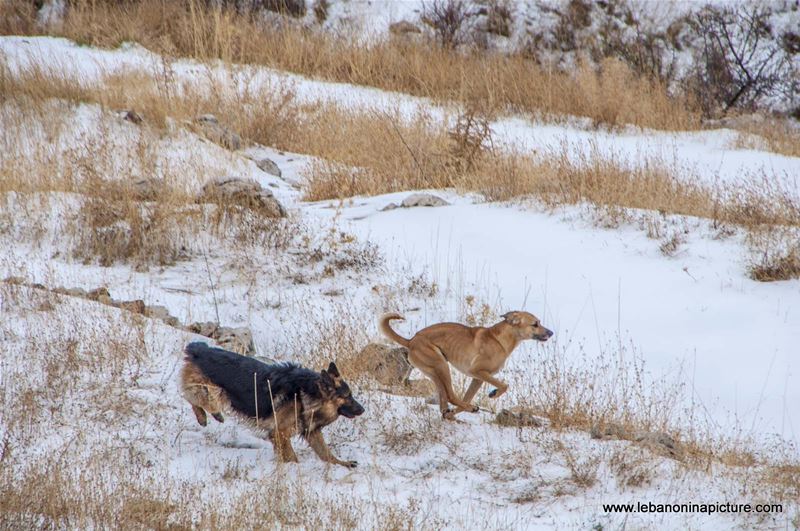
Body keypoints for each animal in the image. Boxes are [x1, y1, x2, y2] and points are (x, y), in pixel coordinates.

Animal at [180, 342, 364, 468]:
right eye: (347, 396)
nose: (363, 409)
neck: (306, 393)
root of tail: (199, 349)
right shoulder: (279, 432)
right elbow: (292, 457)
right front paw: (294, 468)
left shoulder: (311, 431)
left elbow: (326, 453)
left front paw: (342, 463)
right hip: (215, 392)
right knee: (193, 397)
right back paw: (207, 415)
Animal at [380, 312, 552, 420]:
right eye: (535, 324)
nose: (551, 333)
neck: (499, 340)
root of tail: (411, 340)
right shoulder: (477, 371)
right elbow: (504, 385)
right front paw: (494, 393)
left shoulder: (478, 379)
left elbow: (467, 397)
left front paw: (453, 413)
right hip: (442, 365)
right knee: (450, 395)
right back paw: (469, 408)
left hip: (434, 371)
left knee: (444, 399)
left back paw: (450, 413)